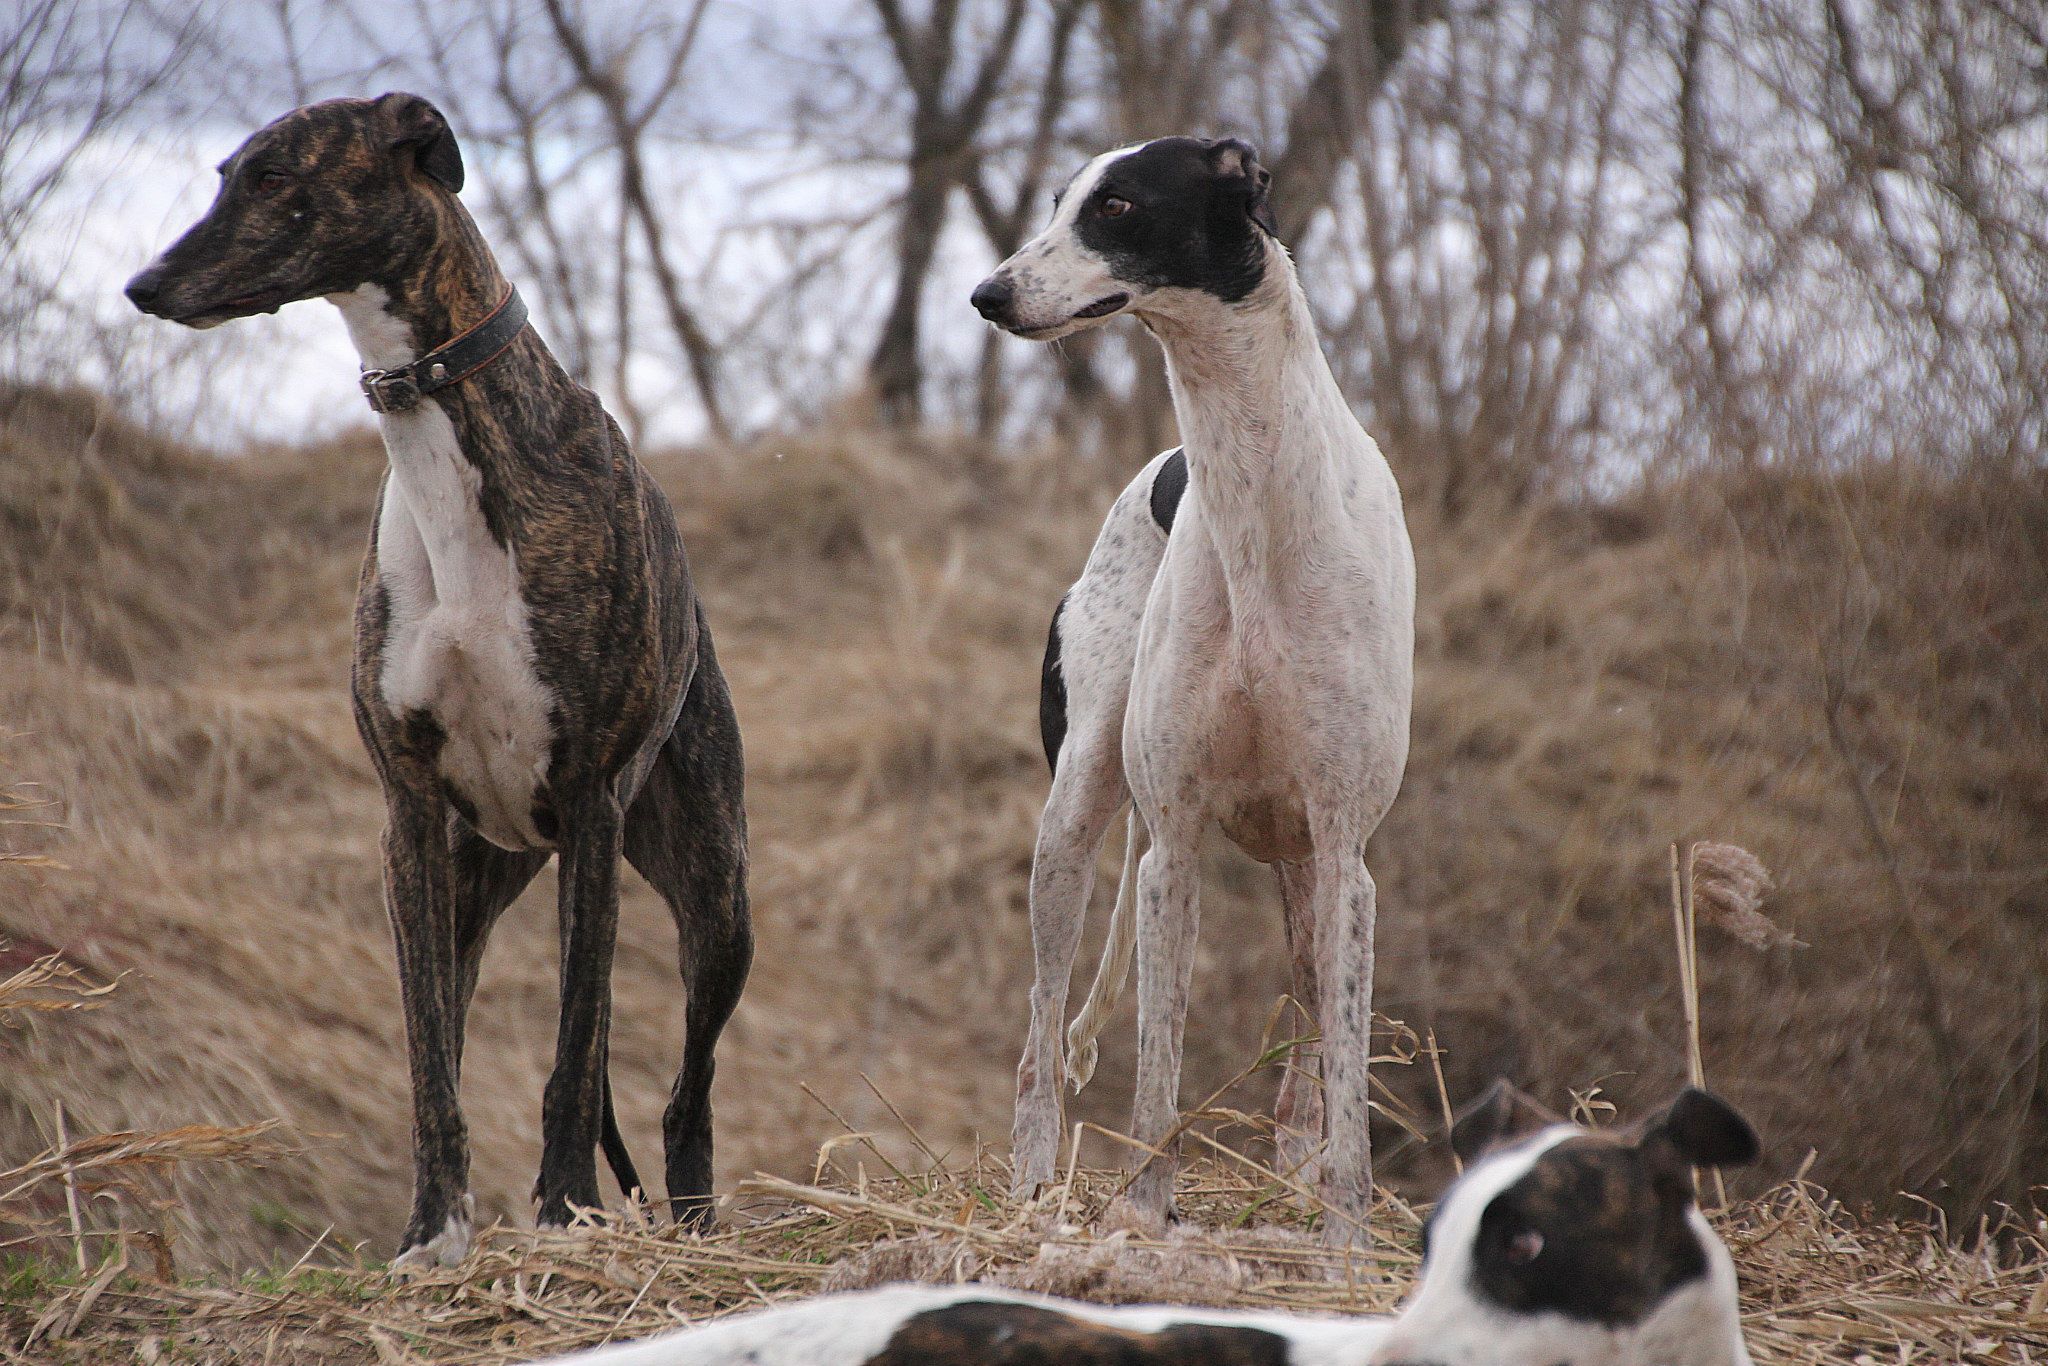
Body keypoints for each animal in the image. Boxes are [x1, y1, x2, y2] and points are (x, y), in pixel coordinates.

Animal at [125, 93, 753, 1269]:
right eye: (226, 171)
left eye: (276, 178)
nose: (143, 285)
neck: (444, 446)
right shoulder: (409, 819)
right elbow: (432, 1061)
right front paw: (433, 1233)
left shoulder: (590, 801)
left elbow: (571, 1056)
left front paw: (561, 1215)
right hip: (481, 877)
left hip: (712, 891)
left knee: (680, 1091)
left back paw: (689, 1227)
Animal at [970, 136, 1417, 1236]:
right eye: (1058, 202)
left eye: (1118, 205)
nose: (987, 295)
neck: (1253, 497)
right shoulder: (1170, 851)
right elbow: (1156, 1075)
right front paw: (1141, 1217)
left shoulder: (1345, 856)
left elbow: (1347, 1079)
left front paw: (1346, 1237)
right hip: (1075, 819)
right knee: (1038, 1034)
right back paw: (1030, 1191)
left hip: (1302, 880)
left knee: (1305, 1059)